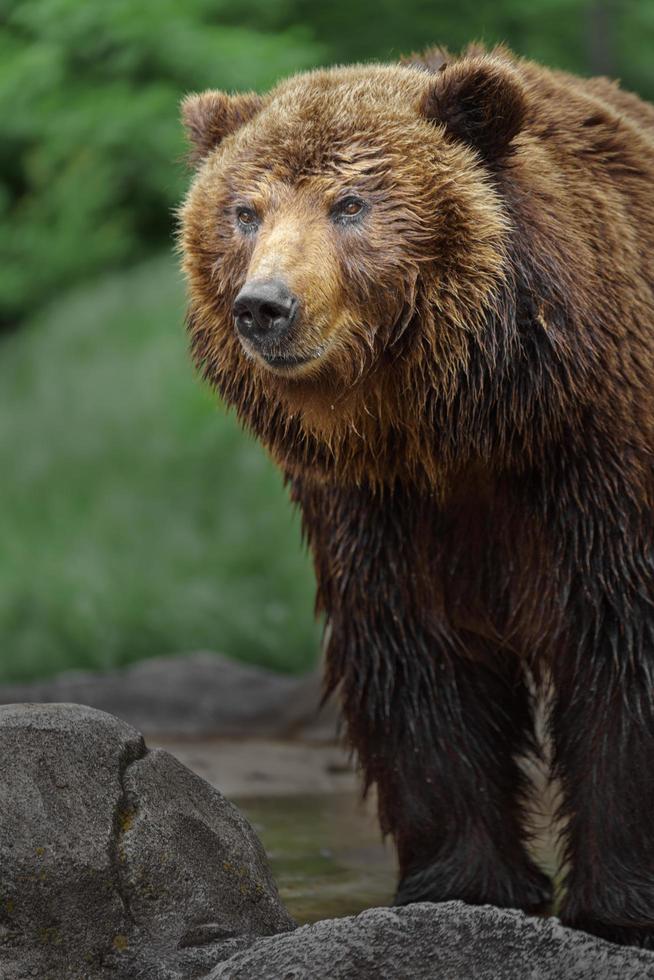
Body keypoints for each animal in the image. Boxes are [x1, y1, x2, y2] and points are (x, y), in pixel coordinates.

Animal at [177, 47, 654, 948]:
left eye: (350, 202)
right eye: (246, 210)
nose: (264, 306)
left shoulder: (599, 460)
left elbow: (619, 642)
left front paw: (619, 903)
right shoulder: (377, 503)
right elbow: (416, 660)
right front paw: (466, 881)